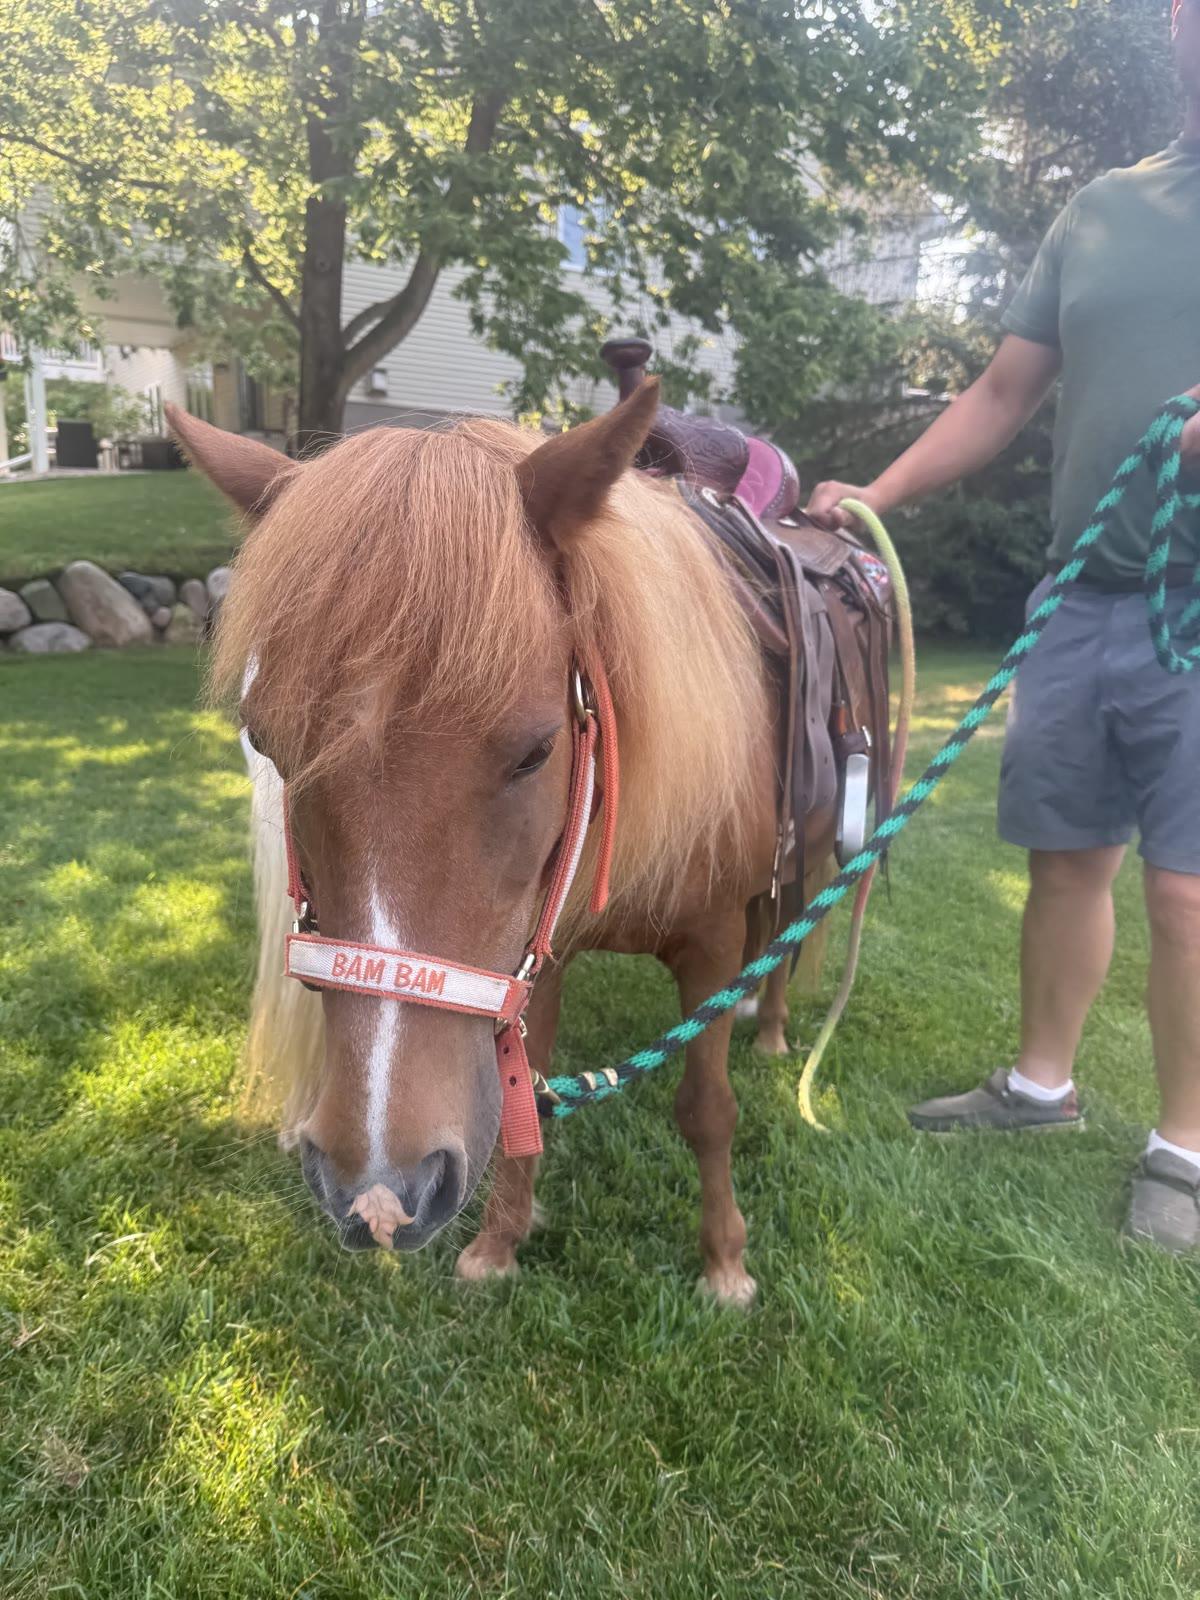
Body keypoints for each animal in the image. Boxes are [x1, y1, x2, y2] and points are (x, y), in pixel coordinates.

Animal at [168, 384, 868, 1306]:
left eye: (537, 751)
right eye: (267, 742)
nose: (379, 1187)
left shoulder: (710, 945)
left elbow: (707, 1110)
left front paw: (725, 1261)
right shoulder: (537, 952)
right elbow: (519, 1103)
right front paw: (501, 1239)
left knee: (786, 923)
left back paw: (775, 1025)